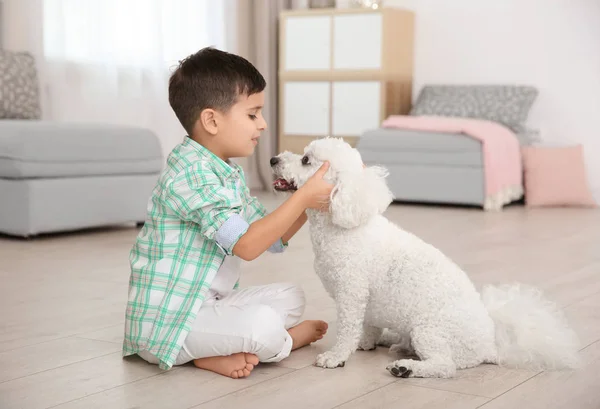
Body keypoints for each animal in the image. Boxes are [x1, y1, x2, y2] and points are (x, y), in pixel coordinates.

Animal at [270, 138, 580, 380]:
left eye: (306, 160)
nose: (273, 159)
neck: (343, 224)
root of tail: (490, 345)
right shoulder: (367, 301)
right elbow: (368, 325)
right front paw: (367, 342)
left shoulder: (351, 293)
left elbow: (348, 329)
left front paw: (336, 357)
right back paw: (396, 344)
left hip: (429, 331)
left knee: (445, 366)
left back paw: (406, 368)